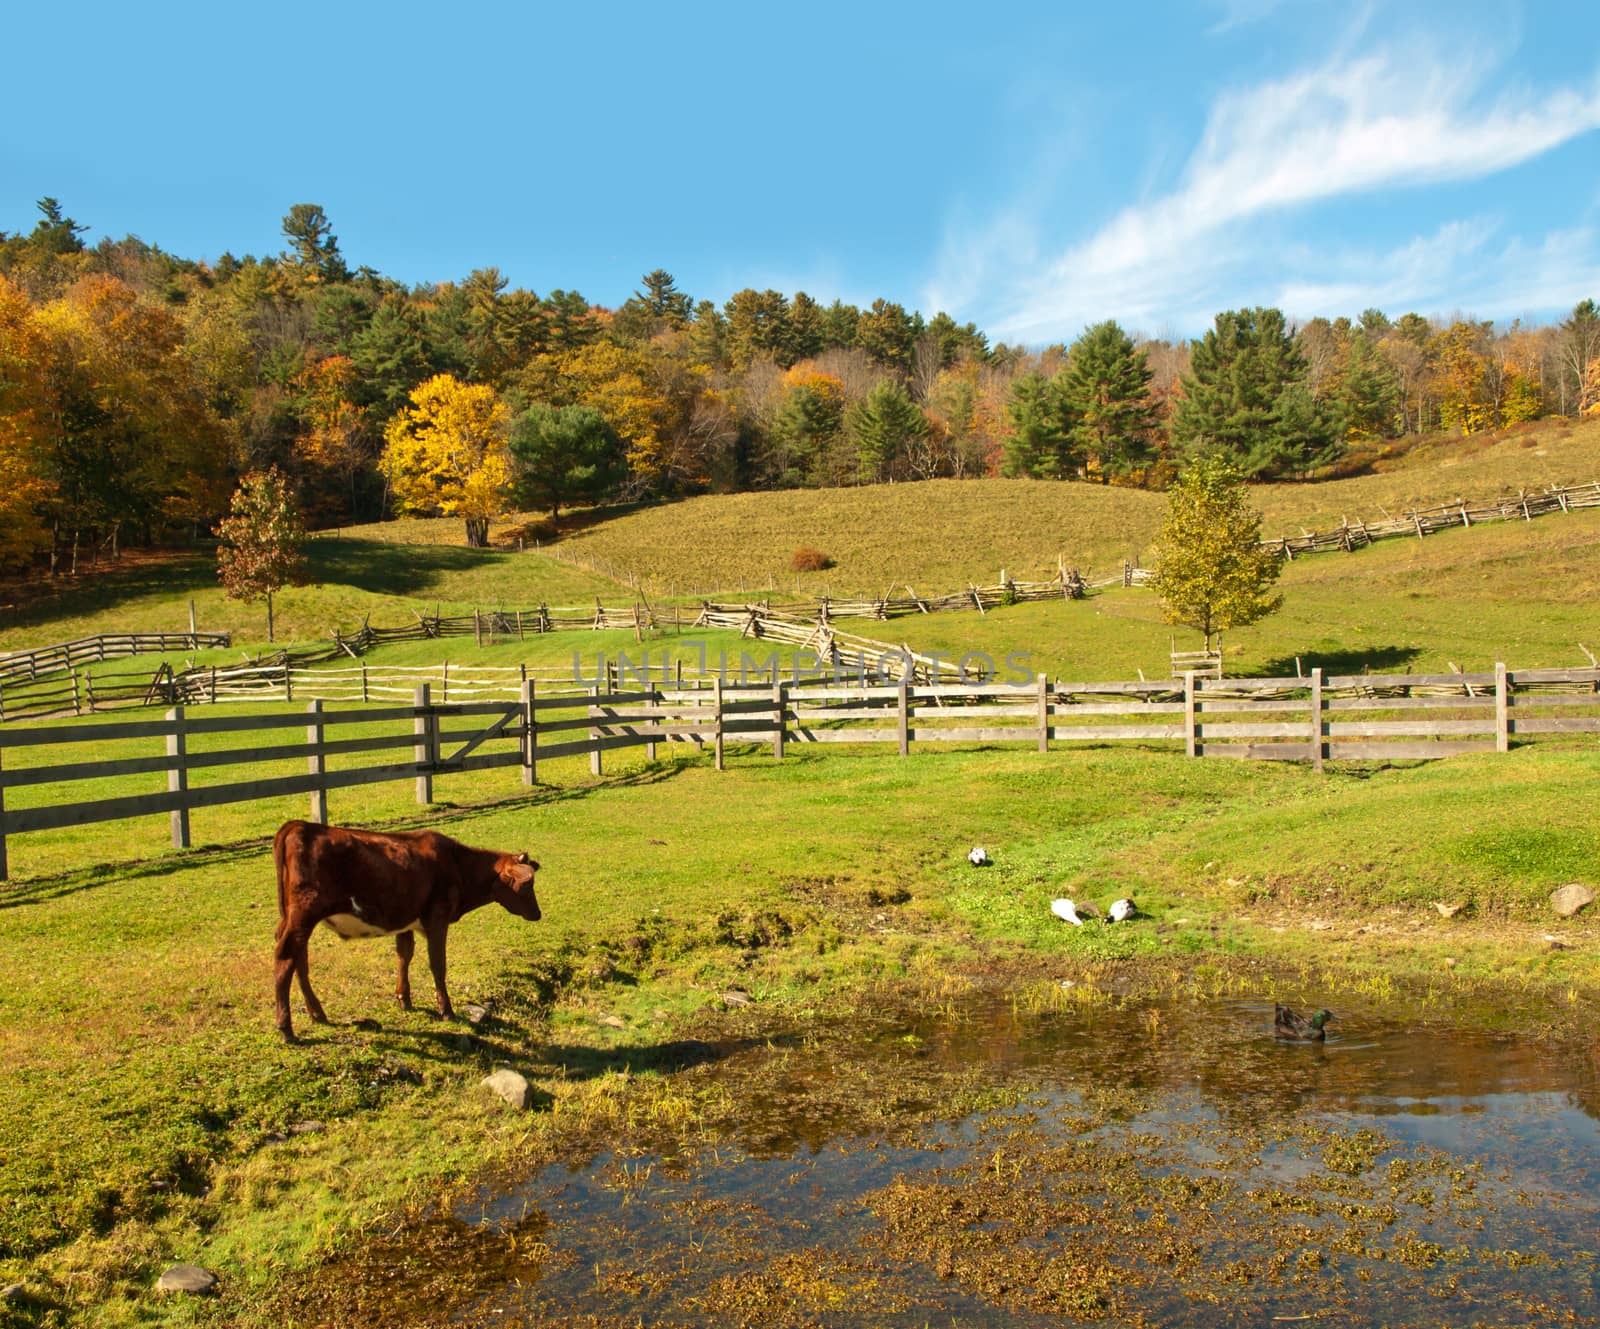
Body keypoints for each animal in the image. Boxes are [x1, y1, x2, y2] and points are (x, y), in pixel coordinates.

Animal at [275, 818, 544, 1036]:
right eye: (527, 884)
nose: (537, 914)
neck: (457, 865)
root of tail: (300, 826)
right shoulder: (437, 919)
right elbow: (438, 964)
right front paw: (446, 1010)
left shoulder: (405, 920)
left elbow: (404, 954)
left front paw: (404, 999)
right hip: (304, 914)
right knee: (285, 958)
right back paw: (286, 1027)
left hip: (294, 919)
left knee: (299, 959)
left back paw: (317, 1013)